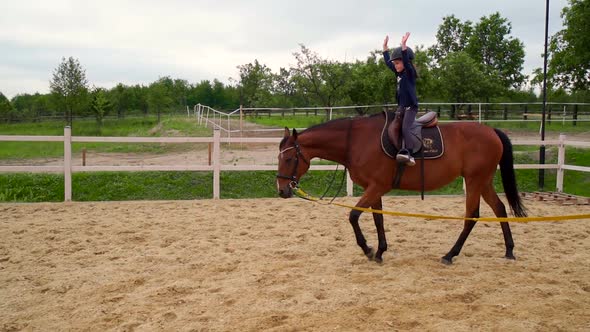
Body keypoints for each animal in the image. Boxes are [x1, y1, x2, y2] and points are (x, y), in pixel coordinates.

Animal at [280, 113, 528, 264]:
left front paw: (368, 249)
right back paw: (509, 250)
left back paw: (450, 254)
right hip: (483, 181)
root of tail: (492, 131)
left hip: (475, 181)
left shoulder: (377, 186)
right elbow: (378, 218)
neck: (357, 141)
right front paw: (380, 251)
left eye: (289, 158)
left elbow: (353, 216)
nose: (282, 190)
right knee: (500, 208)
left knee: (472, 216)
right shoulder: (374, 188)